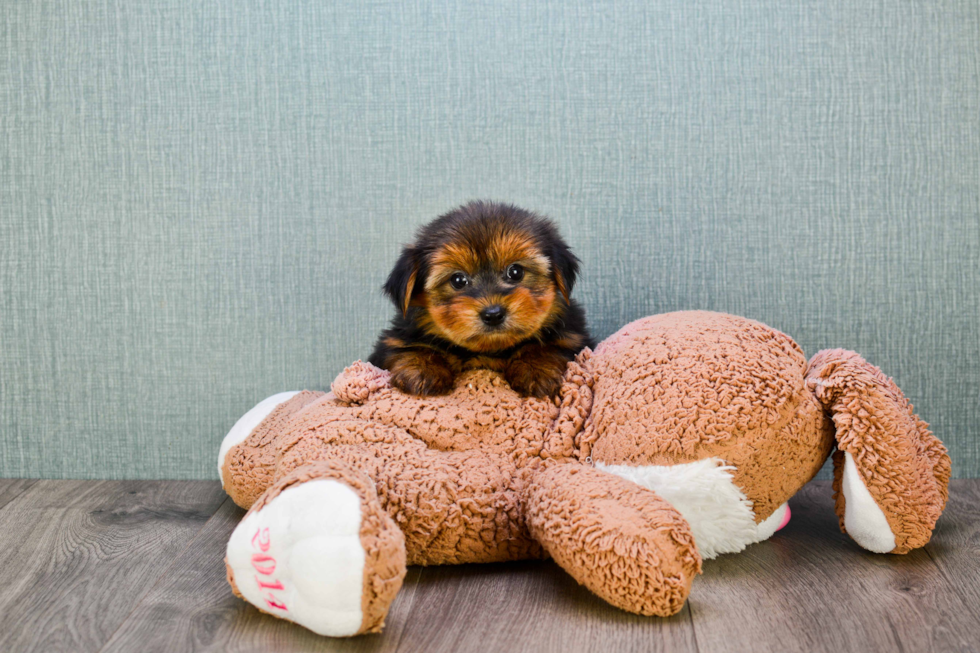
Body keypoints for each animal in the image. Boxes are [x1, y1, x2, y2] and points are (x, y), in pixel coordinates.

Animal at [370, 201, 592, 398]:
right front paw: (422, 369)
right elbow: (409, 348)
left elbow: (548, 346)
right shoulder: (395, 340)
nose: (493, 314)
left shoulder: (573, 337)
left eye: (516, 272)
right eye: (458, 280)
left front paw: (536, 368)